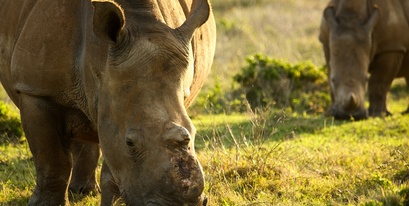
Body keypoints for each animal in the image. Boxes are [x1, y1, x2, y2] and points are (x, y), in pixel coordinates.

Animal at [0, 0, 217, 204]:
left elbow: (112, 165)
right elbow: (52, 160)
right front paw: (44, 204)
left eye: (194, 133)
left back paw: (84, 191)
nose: (185, 203)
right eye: (130, 142)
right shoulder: (36, 91)